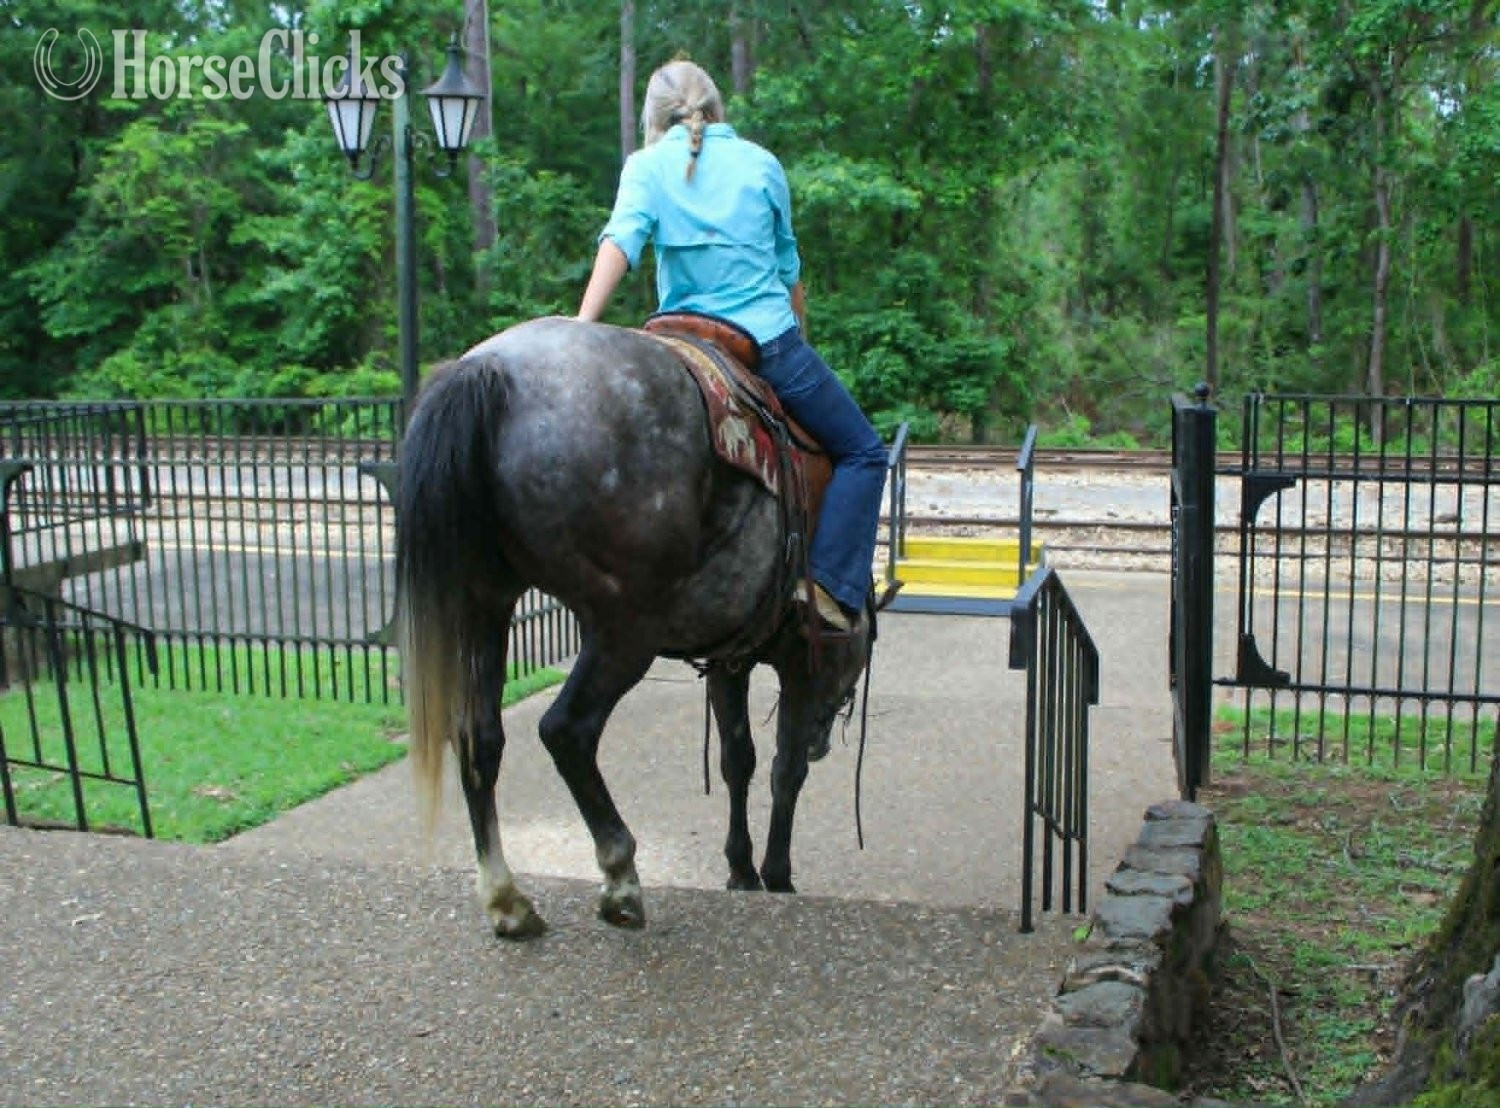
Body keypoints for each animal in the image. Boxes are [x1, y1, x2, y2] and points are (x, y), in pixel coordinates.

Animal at [396, 316, 881, 939]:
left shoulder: (729, 657)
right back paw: (619, 877)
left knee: (479, 738)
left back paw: (507, 900)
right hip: (623, 632)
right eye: (850, 669)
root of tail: (489, 368)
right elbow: (783, 767)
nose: (827, 740)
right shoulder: (800, 663)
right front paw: (777, 876)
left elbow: (738, 760)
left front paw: (741, 870)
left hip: (487, 606)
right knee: (567, 730)